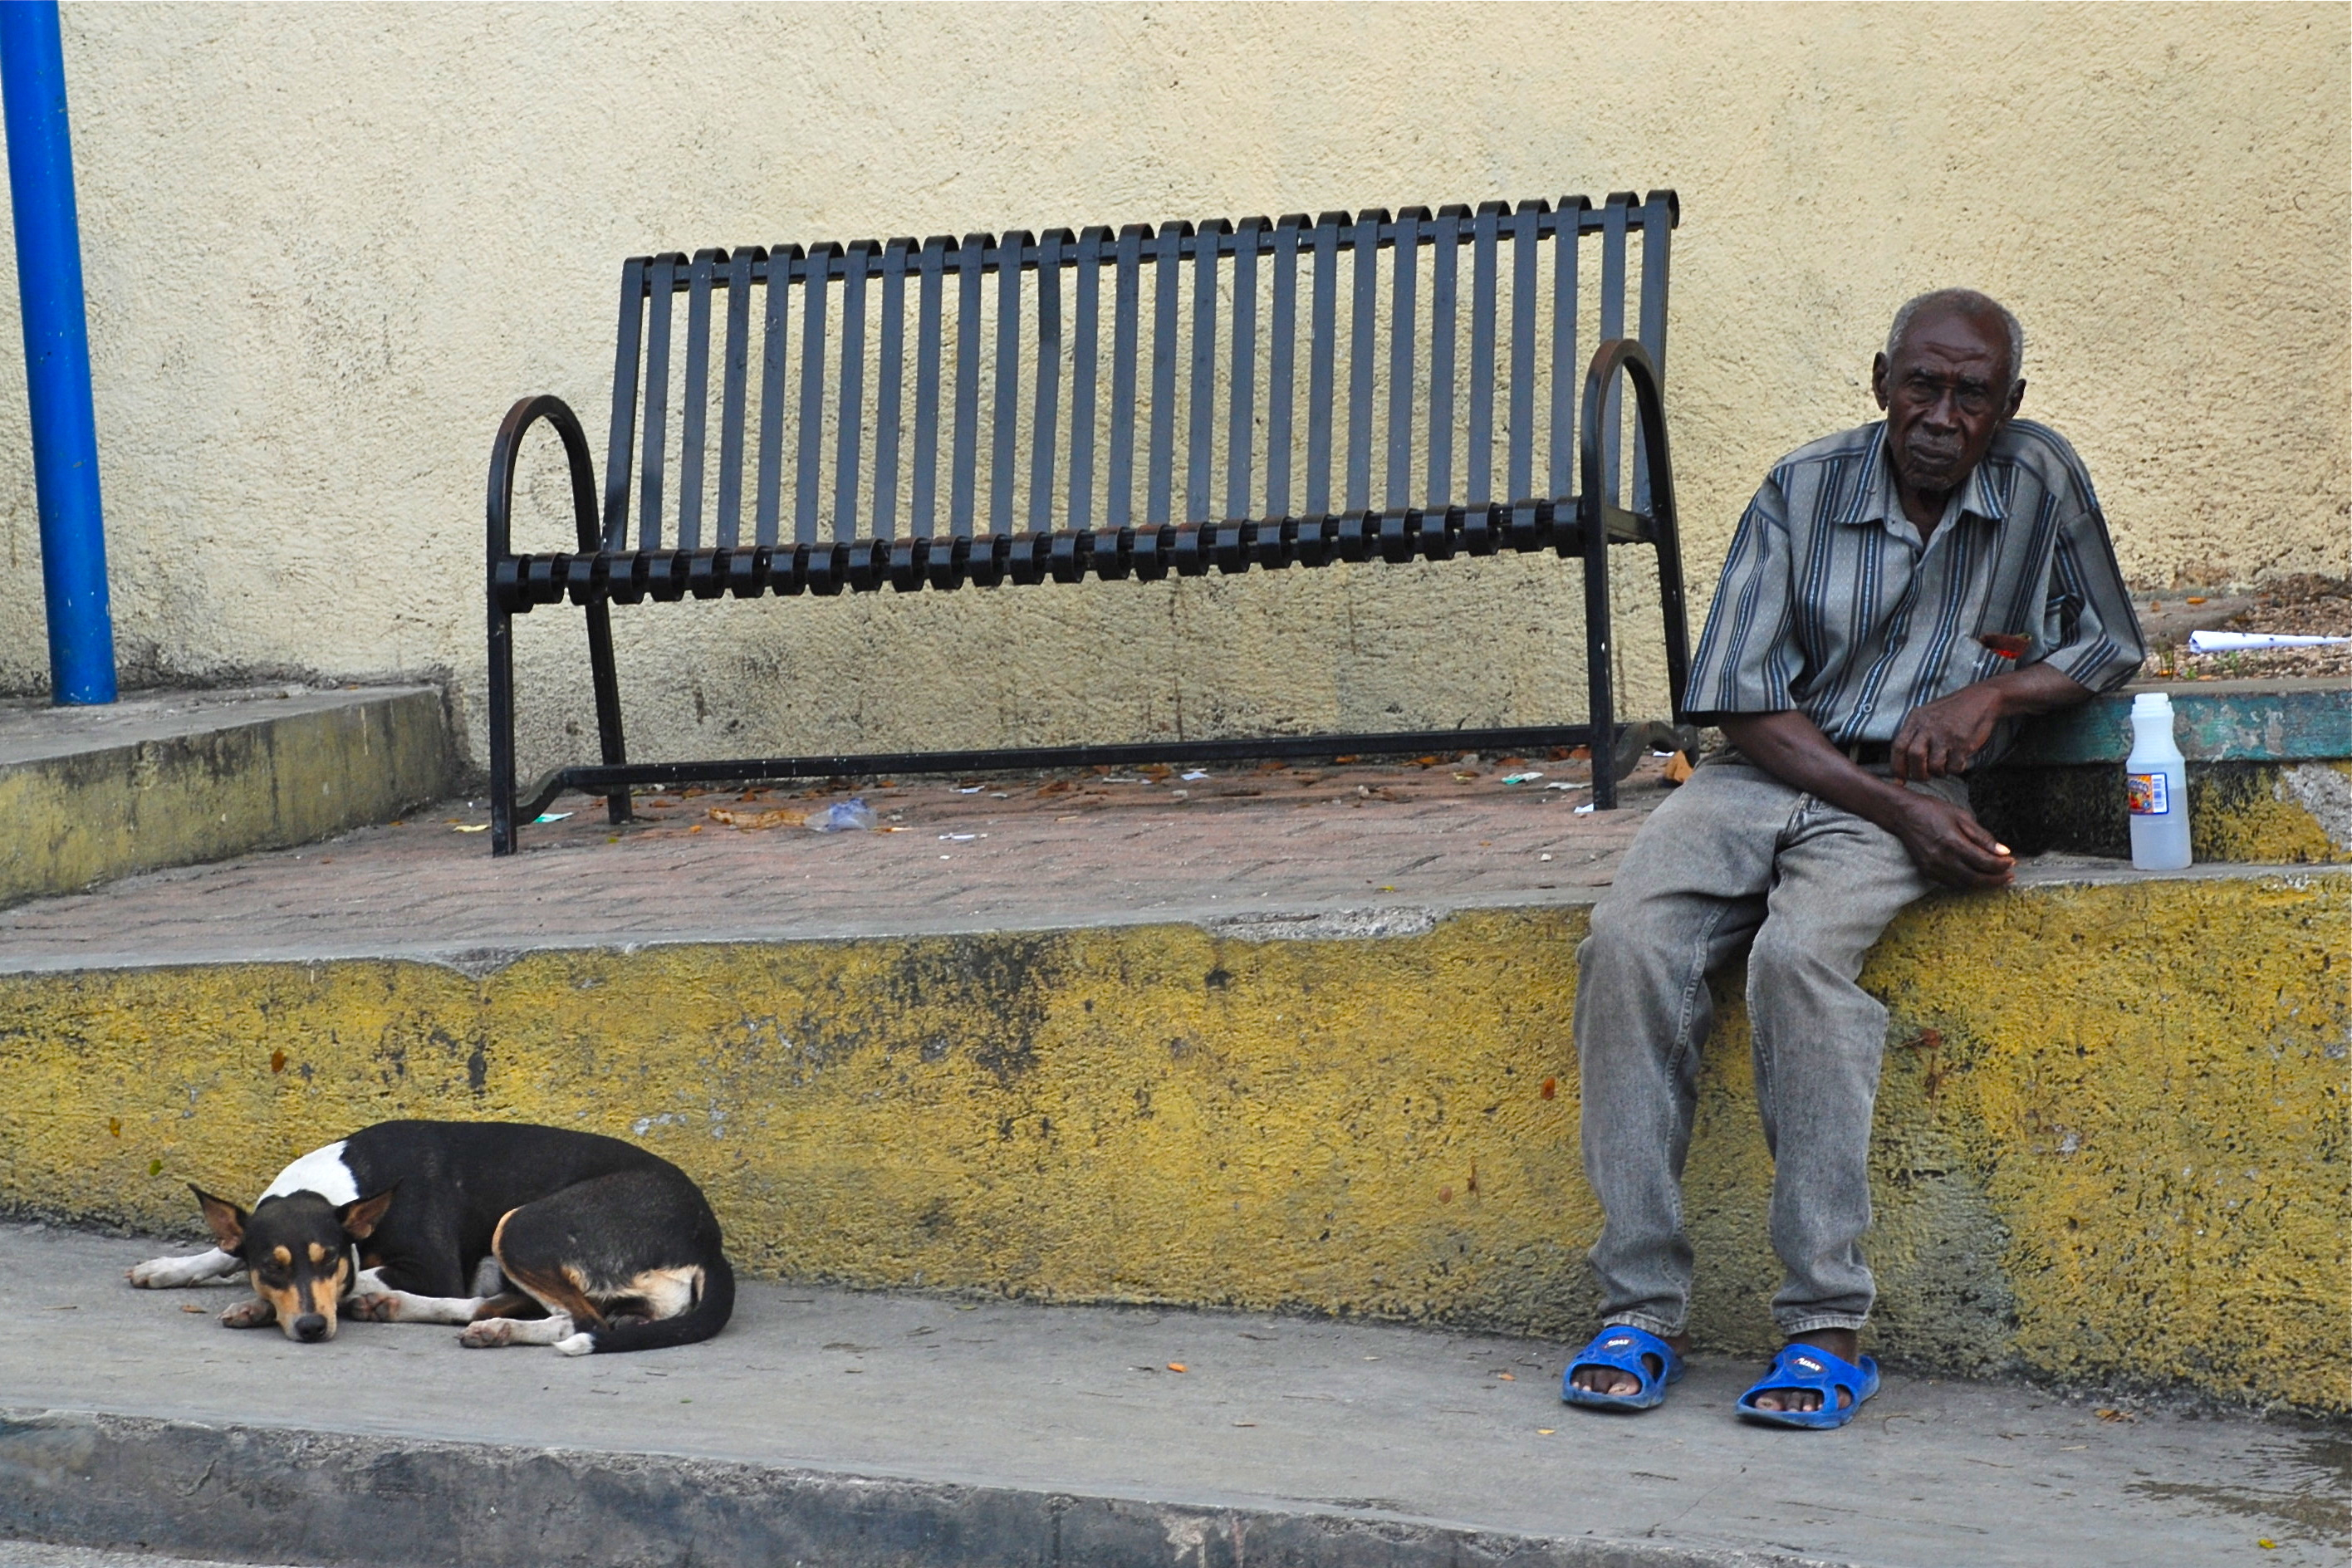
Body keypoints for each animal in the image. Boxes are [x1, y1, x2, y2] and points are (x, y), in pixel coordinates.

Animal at [127, 1119, 734, 1355]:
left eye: (329, 1259)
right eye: (273, 1265)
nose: (311, 1328)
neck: (345, 1182)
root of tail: (708, 1240)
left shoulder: (432, 1267)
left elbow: (356, 1278)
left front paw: (260, 1306)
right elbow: (226, 1253)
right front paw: (169, 1268)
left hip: (520, 1228)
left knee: (582, 1321)